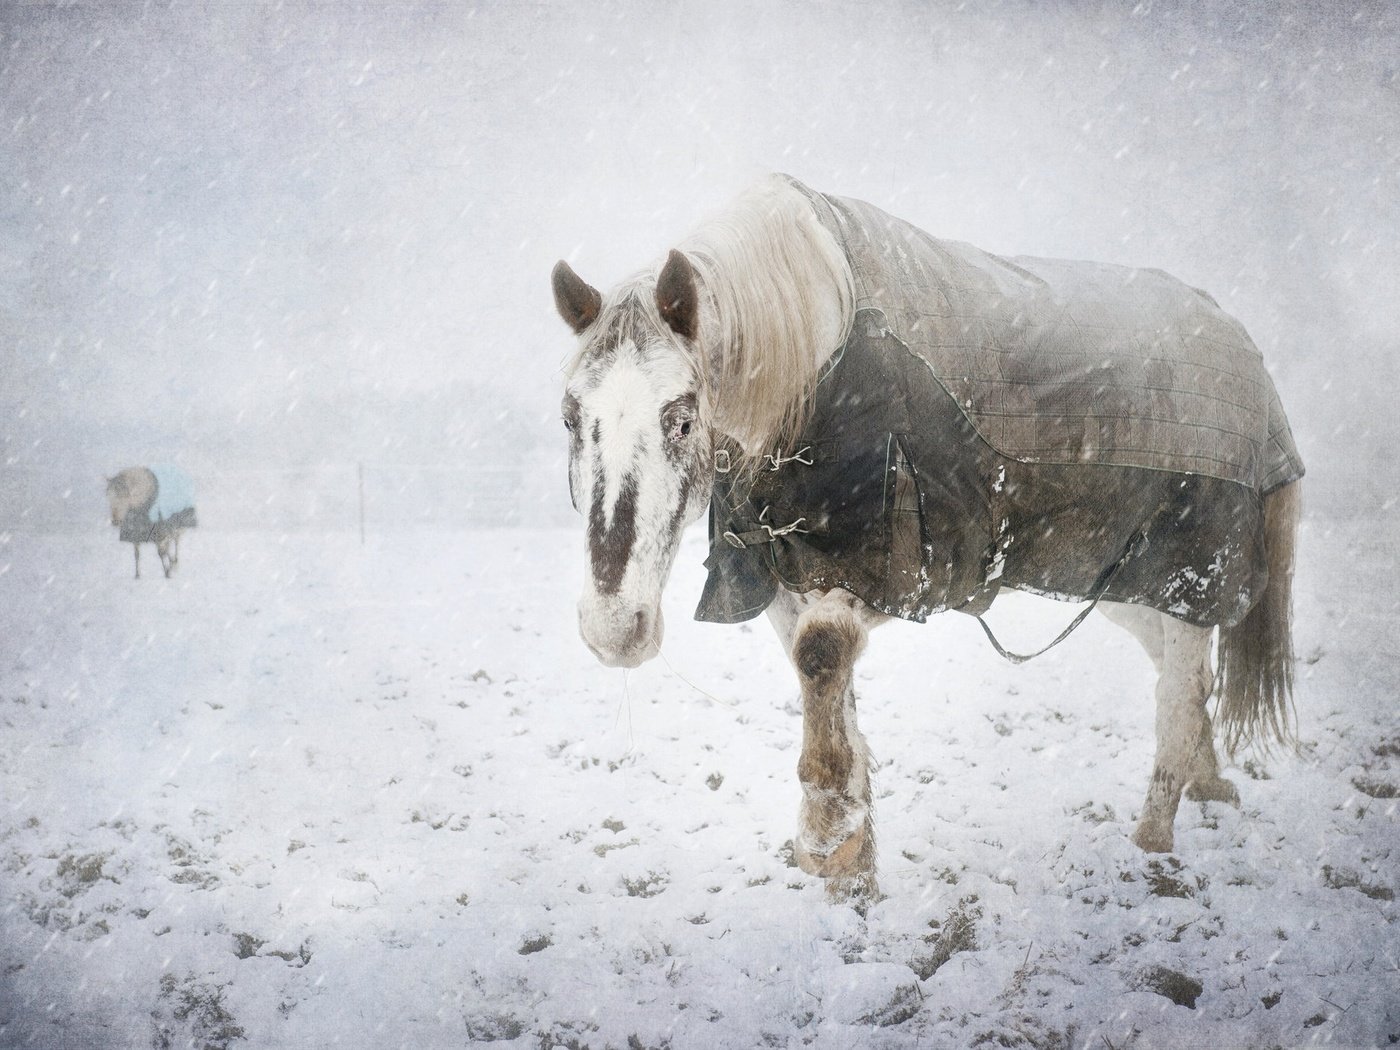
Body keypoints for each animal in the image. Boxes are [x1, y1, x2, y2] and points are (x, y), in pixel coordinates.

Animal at [551, 177, 1304, 901]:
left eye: (682, 418)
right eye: (570, 417)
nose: (614, 629)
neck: (816, 371)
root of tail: (1238, 341)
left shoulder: (886, 576)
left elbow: (823, 656)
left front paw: (827, 836)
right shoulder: (786, 583)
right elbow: (828, 689)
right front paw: (854, 866)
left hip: (1189, 570)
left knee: (1181, 690)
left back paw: (1152, 844)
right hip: (1127, 580)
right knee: (1181, 675)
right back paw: (1210, 786)